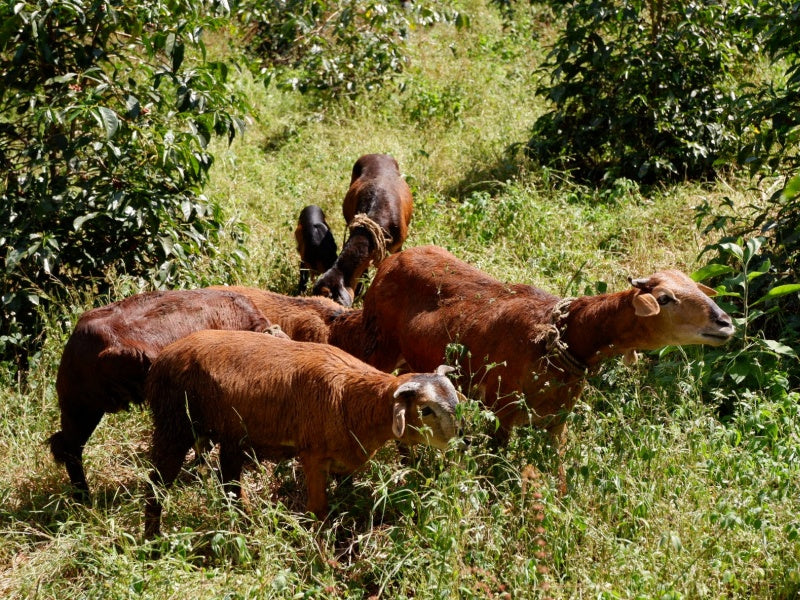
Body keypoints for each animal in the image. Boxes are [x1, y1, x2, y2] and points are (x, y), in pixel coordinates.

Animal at [141, 330, 460, 536]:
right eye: (426, 409)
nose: (461, 441)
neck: (353, 399)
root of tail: (160, 360)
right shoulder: (313, 455)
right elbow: (318, 509)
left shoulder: (343, 459)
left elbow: (346, 498)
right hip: (174, 427)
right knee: (156, 484)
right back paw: (153, 542)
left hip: (231, 436)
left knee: (229, 483)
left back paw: (247, 526)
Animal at [360, 244, 736, 492]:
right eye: (665, 298)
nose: (725, 323)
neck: (562, 337)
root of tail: (391, 259)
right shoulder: (501, 413)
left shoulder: (557, 421)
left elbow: (559, 471)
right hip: (379, 344)